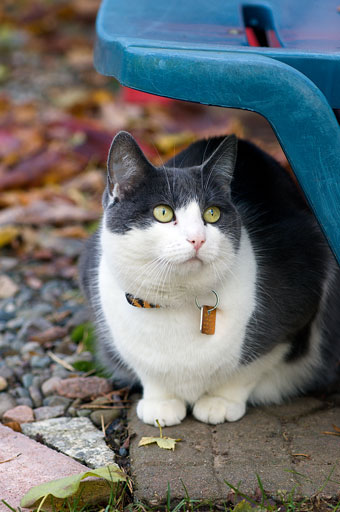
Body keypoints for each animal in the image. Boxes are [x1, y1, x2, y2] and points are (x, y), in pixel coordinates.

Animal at [79, 130, 340, 426]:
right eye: (163, 212)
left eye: (212, 213)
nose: (198, 239)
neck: (177, 301)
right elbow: (146, 370)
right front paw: (160, 403)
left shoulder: (301, 294)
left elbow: (250, 368)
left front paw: (220, 402)